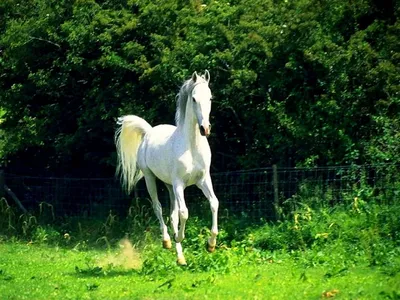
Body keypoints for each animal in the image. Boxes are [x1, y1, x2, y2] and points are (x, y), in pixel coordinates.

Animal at [116, 70, 219, 264]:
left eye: (210, 97)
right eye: (194, 98)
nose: (205, 129)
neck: (191, 146)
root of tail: (149, 132)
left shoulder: (203, 180)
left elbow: (214, 204)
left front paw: (210, 245)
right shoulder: (179, 183)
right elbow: (184, 212)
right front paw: (178, 236)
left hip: (169, 185)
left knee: (172, 215)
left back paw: (181, 258)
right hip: (151, 179)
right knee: (158, 208)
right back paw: (167, 241)